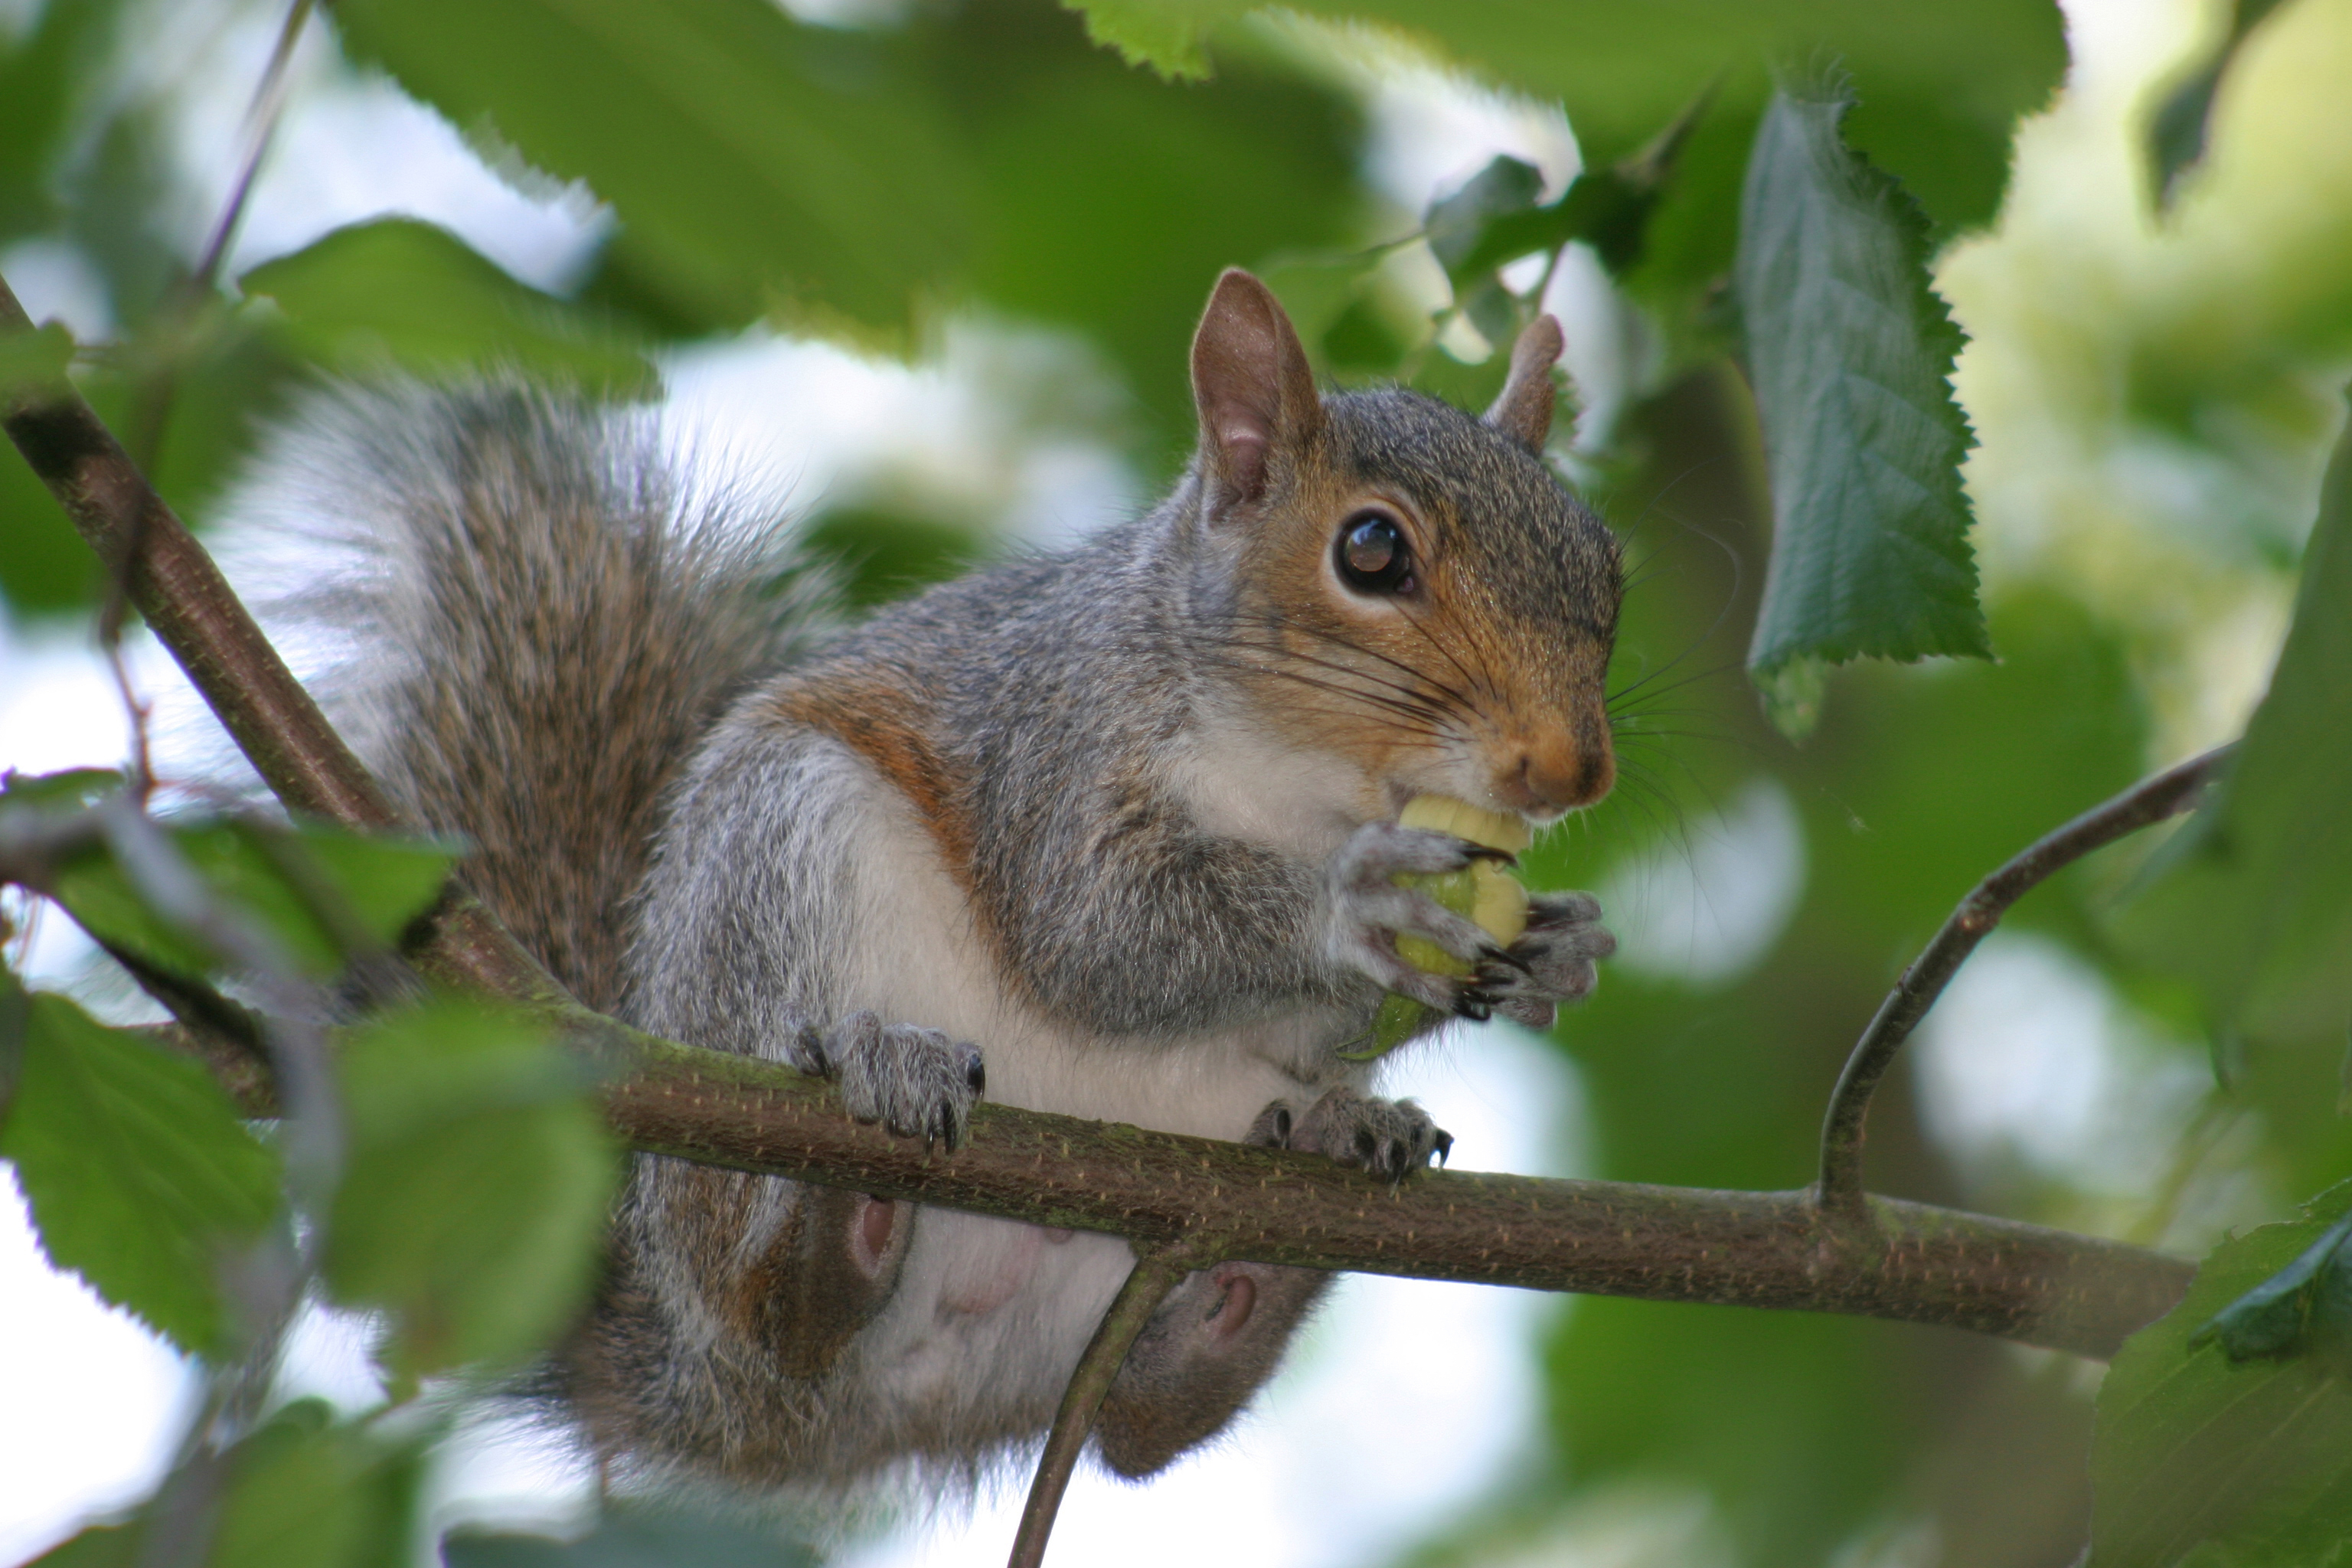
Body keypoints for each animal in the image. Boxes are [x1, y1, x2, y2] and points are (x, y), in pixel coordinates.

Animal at [238, 270, 1627, 1494]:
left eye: (1607, 565)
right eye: (1371, 550)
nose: (1572, 770)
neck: (1314, 782)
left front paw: (1552, 947)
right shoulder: (1056, 748)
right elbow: (1096, 936)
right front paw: (1358, 904)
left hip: (1109, 1296)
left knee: (1142, 1424)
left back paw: (1292, 1215)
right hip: (776, 851)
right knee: (771, 1308)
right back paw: (841, 1191)